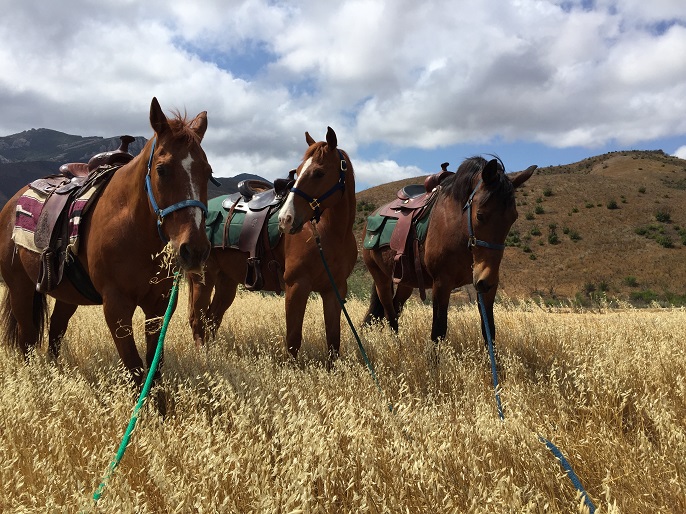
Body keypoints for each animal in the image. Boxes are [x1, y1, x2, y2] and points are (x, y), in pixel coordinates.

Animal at [0, 97, 215, 388]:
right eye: (162, 169)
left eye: (208, 172)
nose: (195, 251)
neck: (134, 230)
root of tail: (12, 203)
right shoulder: (116, 308)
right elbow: (136, 370)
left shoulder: (158, 306)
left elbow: (154, 369)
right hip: (20, 289)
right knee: (28, 339)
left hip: (67, 295)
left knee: (55, 333)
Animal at [188, 126, 360, 362]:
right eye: (298, 171)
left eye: (319, 173)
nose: (285, 219)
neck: (330, 234)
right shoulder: (297, 286)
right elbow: (293, 340)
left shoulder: (335, 290)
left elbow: (333, 342)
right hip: (203, 278)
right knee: (198, 321)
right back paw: (203, 359)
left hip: (227, 282)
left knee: (212, 320)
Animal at [362, 156, 536, 348]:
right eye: (480, 215)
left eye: (513, 217)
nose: (486, 279)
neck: (459, 229)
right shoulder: (441, 284)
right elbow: (438, 331)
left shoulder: (487, 289)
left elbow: (489, 330)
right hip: (382, 279)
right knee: (390, 314)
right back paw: (397, 348)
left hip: (405, 282)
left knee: (392, 310)